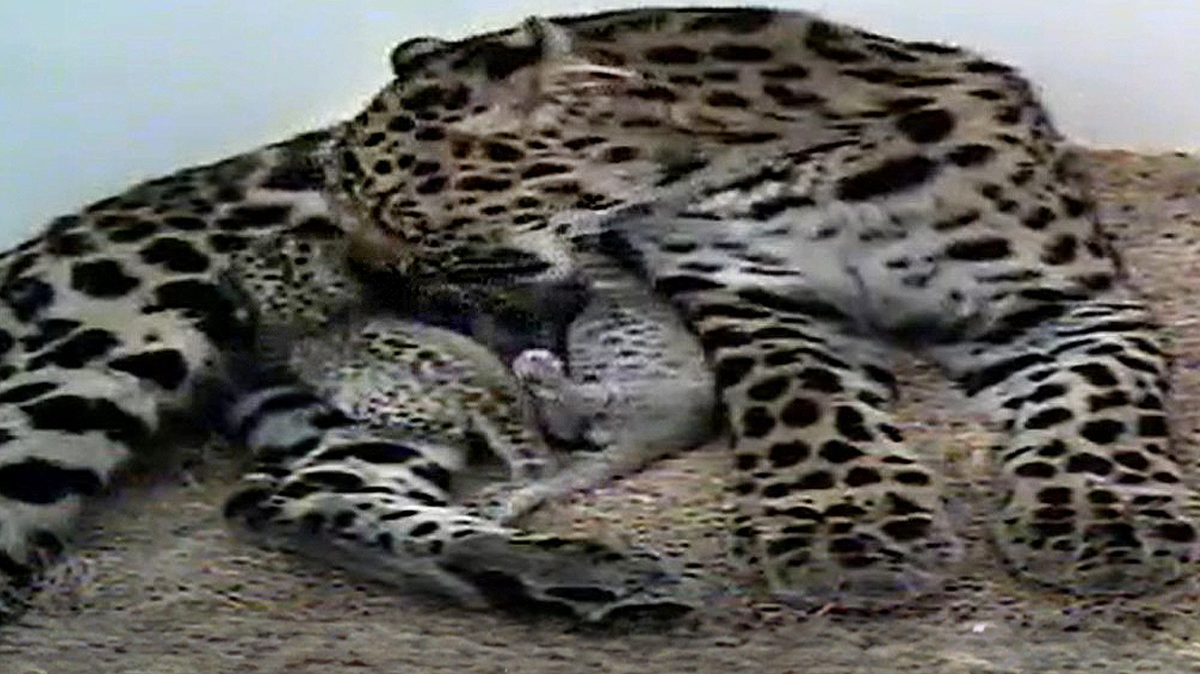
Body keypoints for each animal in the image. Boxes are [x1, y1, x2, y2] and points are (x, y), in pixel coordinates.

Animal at [0, 5, 1195, 626]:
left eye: (382, 205)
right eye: (333, 196)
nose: (363, 278)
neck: (811, 157)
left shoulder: (1064, 296)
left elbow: (1100, 408)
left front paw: (1106, 522)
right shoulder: (753, 304)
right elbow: (809, 409)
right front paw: (846, 529)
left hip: (363, 413)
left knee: (293, 497)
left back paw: (577, 578)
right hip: (99, 352)